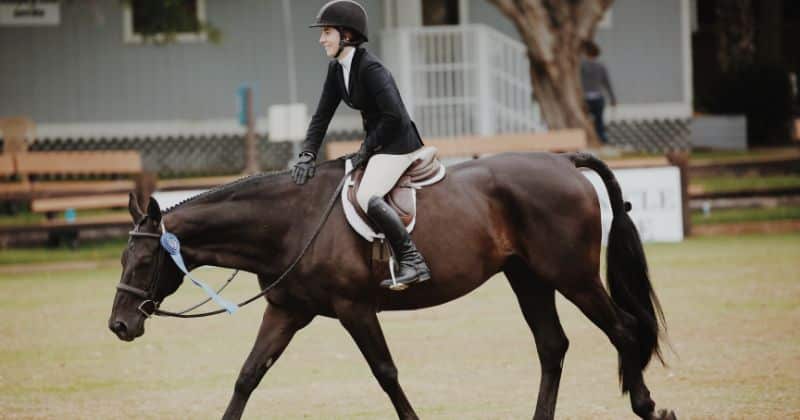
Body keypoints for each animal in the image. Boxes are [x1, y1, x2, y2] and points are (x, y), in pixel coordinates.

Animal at [109, 152, 676, 420]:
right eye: (123, 258)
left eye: (144, 261)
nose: (119, 325)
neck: (291, 221)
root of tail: (562, 161)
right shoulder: (287, 311)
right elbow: (248, 376)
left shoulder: (355, 309)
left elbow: (385, 373)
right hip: (528, 278)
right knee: (552, 346)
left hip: (571, 276)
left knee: (624, 329)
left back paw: (649, 406)